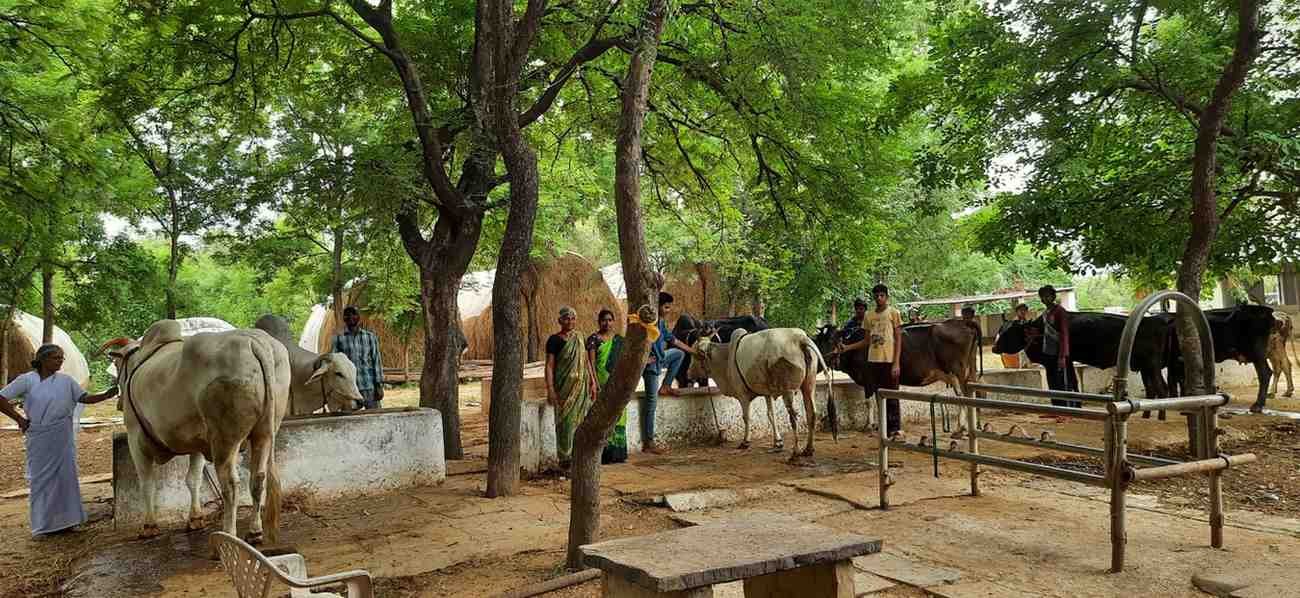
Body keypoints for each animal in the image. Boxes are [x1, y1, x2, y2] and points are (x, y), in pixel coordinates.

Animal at [101, 320, 292, 544]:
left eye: (116, 365)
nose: (119, 403)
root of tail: (253, 341)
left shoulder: (135, 437)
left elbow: (147, 484)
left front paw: (149, 525)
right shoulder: (197, 444)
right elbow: (194, 480)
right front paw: (195, 518)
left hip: (224, 440)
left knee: (231, 485)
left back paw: (228, 534)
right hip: (265, 433)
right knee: (258, 478)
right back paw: (254, 531)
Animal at [686, 328, 831, 463]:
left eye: (694, 355)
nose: (688, 373)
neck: (726, 357)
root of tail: (800, 338)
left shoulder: (743, 395)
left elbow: (746, 417)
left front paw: (745, 442)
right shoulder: (767, 393)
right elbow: (771, 415)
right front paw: (778, 442)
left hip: (788, 391)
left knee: (794, 417)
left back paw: (795, 453)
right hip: (809, 385)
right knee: (811, 413)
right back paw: (808, 449)